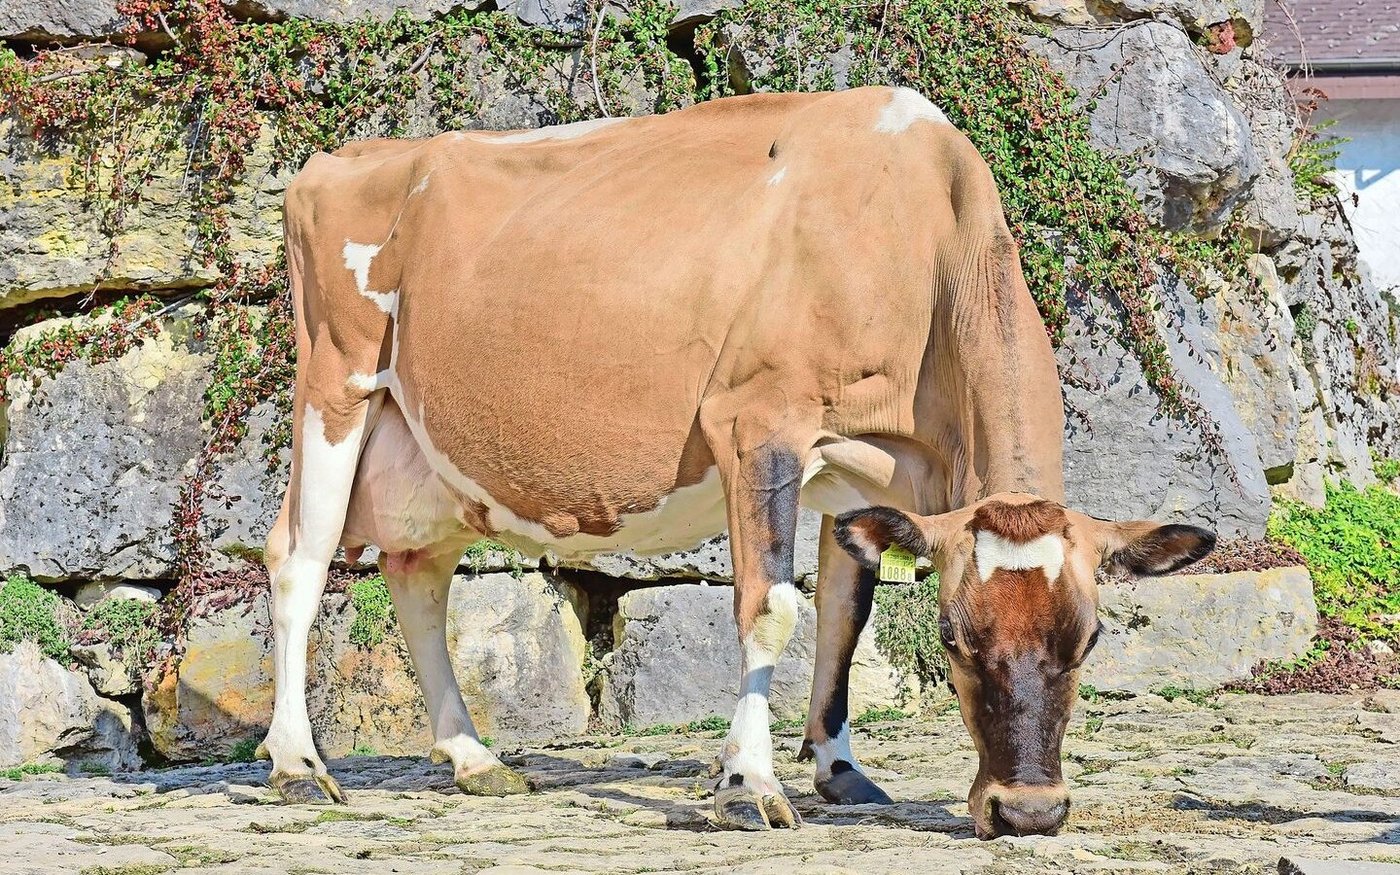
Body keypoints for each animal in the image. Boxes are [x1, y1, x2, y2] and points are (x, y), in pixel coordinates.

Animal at [260, 86, 1216, 838]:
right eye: (952, 635)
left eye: (1089, 636)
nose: (1028, 811)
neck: (910, 233)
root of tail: (340, 159)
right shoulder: (758, 422)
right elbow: (772, 607)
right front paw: (746, 783)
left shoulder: (867, 474)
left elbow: (845, 613)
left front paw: (837, 768)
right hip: (336, 382)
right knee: (298, 558)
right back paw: (298, 764)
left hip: (430, 452)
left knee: (417, 575)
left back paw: (471, 757)